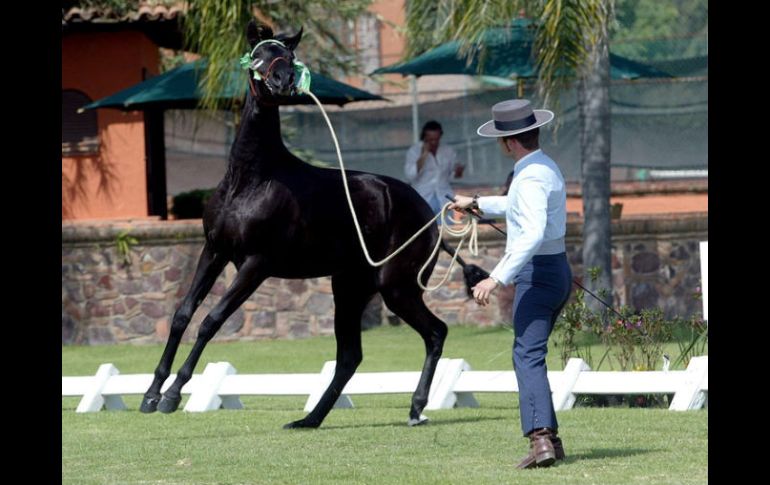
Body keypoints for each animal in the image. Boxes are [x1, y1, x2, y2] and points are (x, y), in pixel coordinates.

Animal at [140, 19, 484, 428]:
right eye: (260, 54)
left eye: (289, 58)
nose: (283, 80)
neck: (251, 179)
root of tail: (427, 215)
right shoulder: (215, 250)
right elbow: (183, 314)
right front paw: (151, 394)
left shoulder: (256, 264)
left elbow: (212, 320)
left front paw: (173, 394)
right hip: (350, 288)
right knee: (351, 356)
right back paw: (308, 420)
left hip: (396, 287)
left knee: (435, 332)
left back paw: (416, 408)